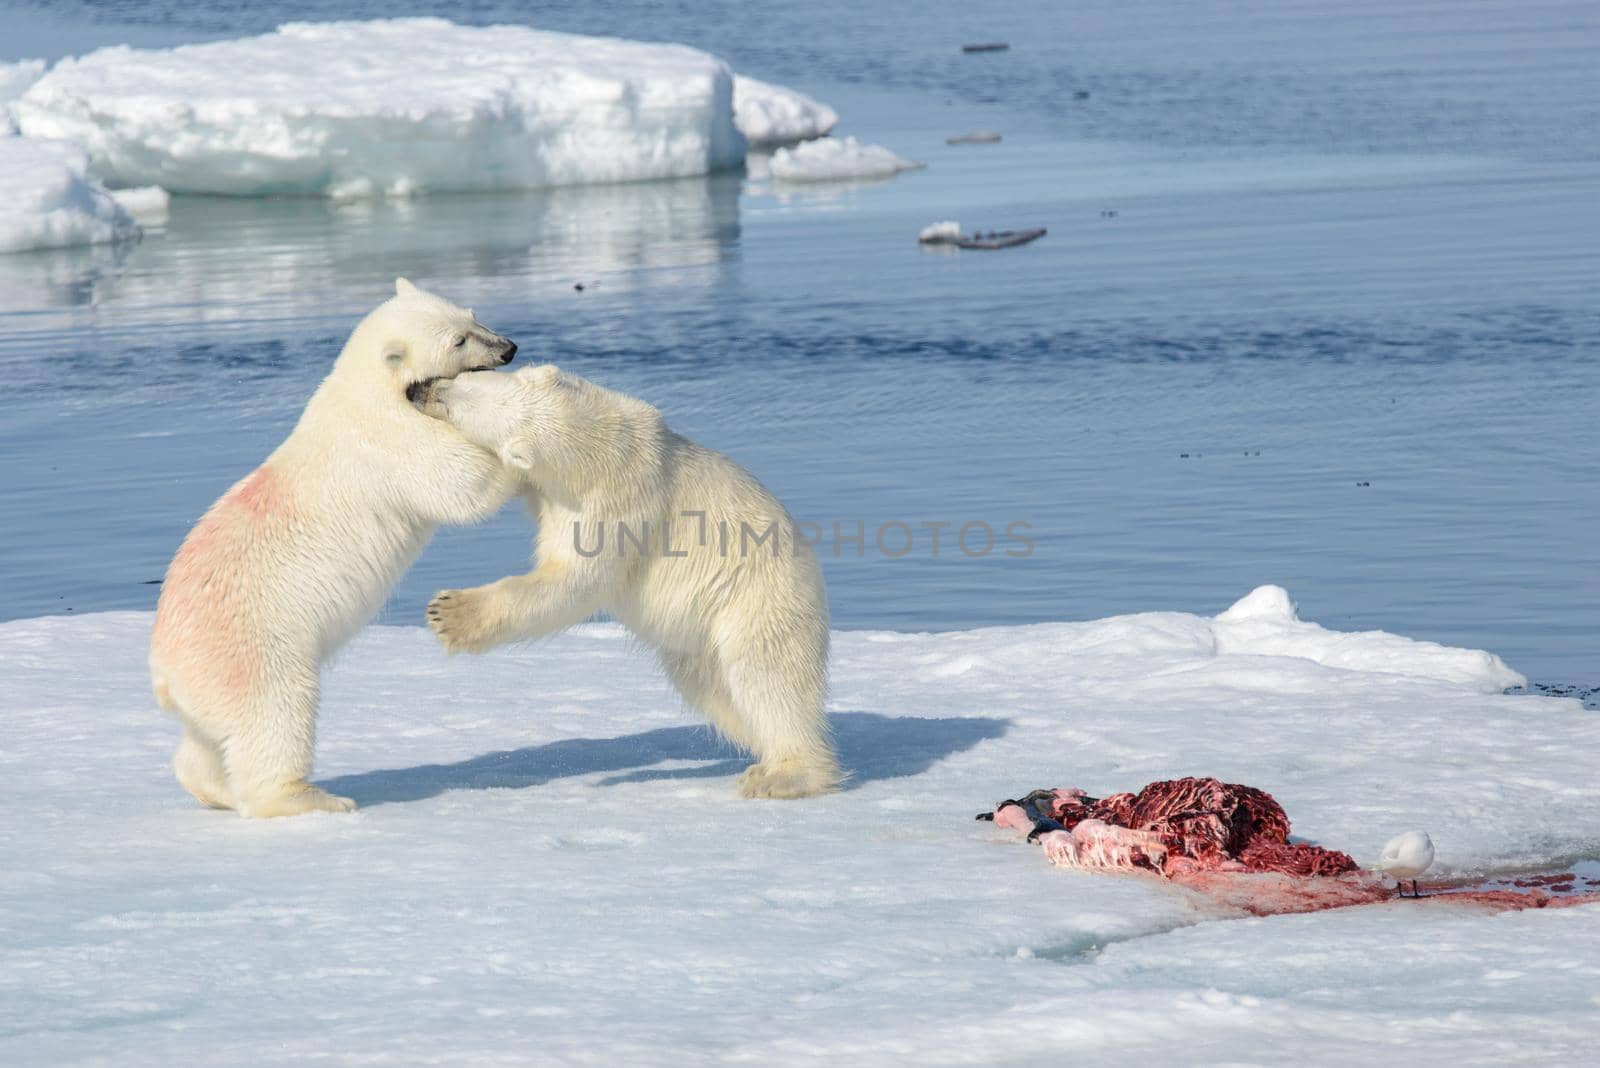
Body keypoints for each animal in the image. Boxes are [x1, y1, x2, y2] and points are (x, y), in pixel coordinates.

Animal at [150, 278, 518, 818]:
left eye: (473, 316)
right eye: (458, 341)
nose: (509, 348)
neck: (364, 390)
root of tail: (164, 669)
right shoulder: (391, 442)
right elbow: (463, 483)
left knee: (208, 741)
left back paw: (213, 790)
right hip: (256, 648)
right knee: (276, 714)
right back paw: (312, 799)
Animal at [419, 362, 844, 796]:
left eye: (457, 403)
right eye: (461, 379)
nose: (425, 392)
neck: (599, 448)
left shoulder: (613, 512)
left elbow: (571, 584)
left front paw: (449, 614)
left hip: (757, 600)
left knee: (768, 679)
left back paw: (785, 774)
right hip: (697, 640)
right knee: (713, 690)